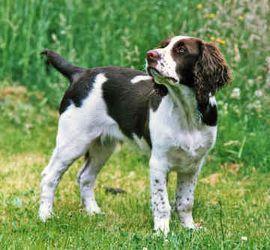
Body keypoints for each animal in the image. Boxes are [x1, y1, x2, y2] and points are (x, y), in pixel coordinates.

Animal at [39, 35, 231, 234]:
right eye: (163, 45)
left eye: (181, 50)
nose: (150, 54)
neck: (185, 112)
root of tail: (80, 73)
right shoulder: (158, 163)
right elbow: (162, 202)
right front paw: (162, 232)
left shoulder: (193, 165)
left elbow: (185, 201)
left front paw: (190, 228)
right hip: (73, 141)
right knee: (49, 176)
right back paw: (46, 215)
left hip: (103, 146)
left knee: (85, 177)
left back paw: (93, 212)